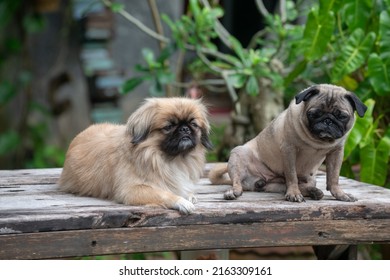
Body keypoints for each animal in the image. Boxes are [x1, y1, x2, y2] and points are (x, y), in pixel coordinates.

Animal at [58, 97, 212, 213]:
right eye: (168, 127)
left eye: (193, 124)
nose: (184, 129)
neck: (169, 159)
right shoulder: (131, 190)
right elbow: (163, 193)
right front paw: (181, 201)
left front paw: (189, 195)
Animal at [210, 84, 366, 202]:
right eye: (314, 114)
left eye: (342, 116)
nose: (327, 121)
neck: (317, 141)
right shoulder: (289, 150)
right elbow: (292, 176)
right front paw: (294, 194)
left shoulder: (336, 153)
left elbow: (333, 177)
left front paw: (340, 194)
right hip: (239, 154)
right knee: (237, 182)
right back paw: (233, 191)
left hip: (308, 178)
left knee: (293, 185)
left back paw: (313, 191)